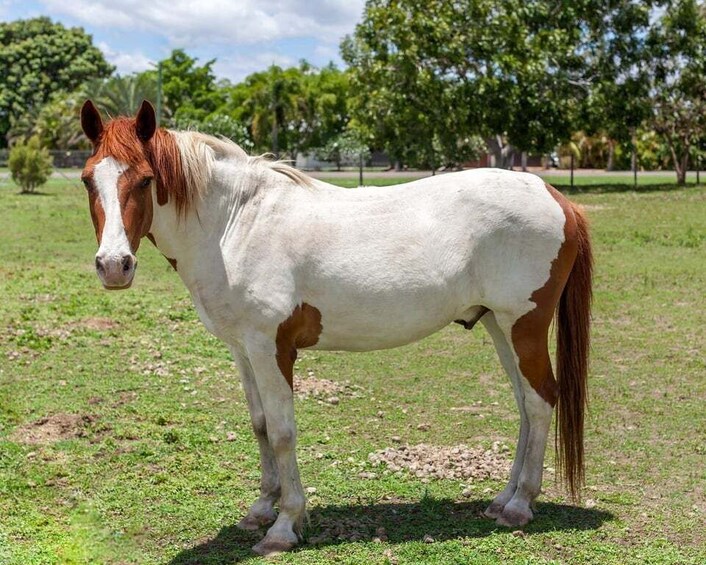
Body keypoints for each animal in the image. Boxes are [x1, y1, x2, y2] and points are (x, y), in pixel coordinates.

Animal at [79, 100, 592, 556]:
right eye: (88, 180)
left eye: (145, 179)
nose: (114, 266)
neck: (236, 224)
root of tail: (556, 198)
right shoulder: (243, 350)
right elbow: (260, 426)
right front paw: (260, 509)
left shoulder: (272, 349)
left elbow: (283, 432)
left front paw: (284, 526)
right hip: (498, 327)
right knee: (525, 404)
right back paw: (503, 500)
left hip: (523, 325)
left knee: (540, 400)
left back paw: (520, 506)